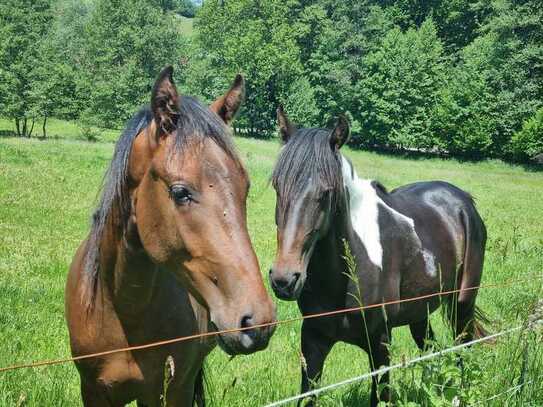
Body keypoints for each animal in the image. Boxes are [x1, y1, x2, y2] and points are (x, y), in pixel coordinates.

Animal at [65, 65, 276, 406]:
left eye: (245, 188)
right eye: (180, 193)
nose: (258, 322)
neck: (122, 309)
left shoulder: (169, 389)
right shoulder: (94, 392)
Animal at [270, 107, 490, 406]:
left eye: (326, 193)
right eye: (277, 186)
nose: (284, 279)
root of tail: (464, 200)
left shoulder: (380, 344)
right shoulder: (313, 341)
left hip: (462, 305)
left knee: (462, 348)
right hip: (420, 312)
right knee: (433, 350)